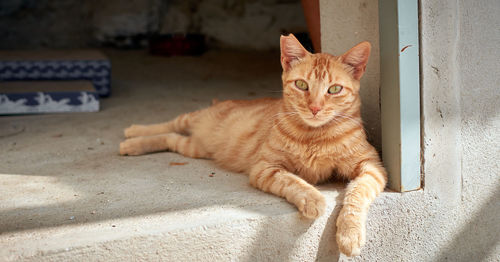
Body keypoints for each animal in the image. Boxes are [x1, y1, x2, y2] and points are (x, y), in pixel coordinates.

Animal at [120, 33, 386, 256]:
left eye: (334, 89)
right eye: (302, 85)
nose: (315, 108)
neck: (315, 135)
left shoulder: (372, 167)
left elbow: (357, 195)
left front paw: (350, 235)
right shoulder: (265, 168)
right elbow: (294, 181)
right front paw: (314, 199)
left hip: (193, 148)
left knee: (171, 138)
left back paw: (133, 144)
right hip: (192, 120)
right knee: (170, 123)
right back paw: (133, 134)